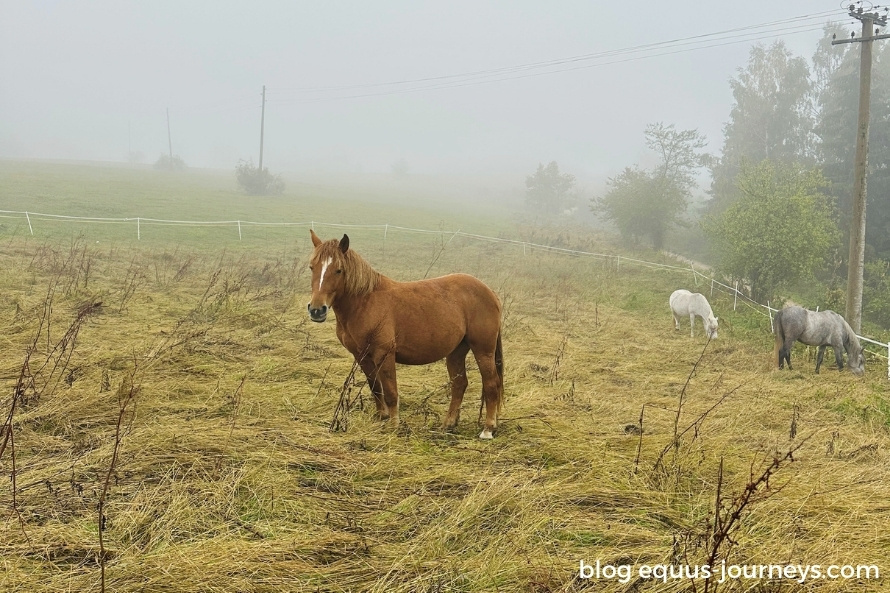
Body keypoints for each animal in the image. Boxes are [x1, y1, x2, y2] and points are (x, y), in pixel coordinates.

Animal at [306, 230, 504, 439]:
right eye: (312, 267)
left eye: (338, 270)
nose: (317, 310)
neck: (365, 302)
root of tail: (490, 292)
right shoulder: (361, 356)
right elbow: (375, 387)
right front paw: (382, 418)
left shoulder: (384, 354)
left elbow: (391, 392)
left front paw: (394, 426)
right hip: (456, 351)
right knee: (459, 384)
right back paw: (448, 425)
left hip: (483, 350)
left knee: (491, 384)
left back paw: (488, 429)